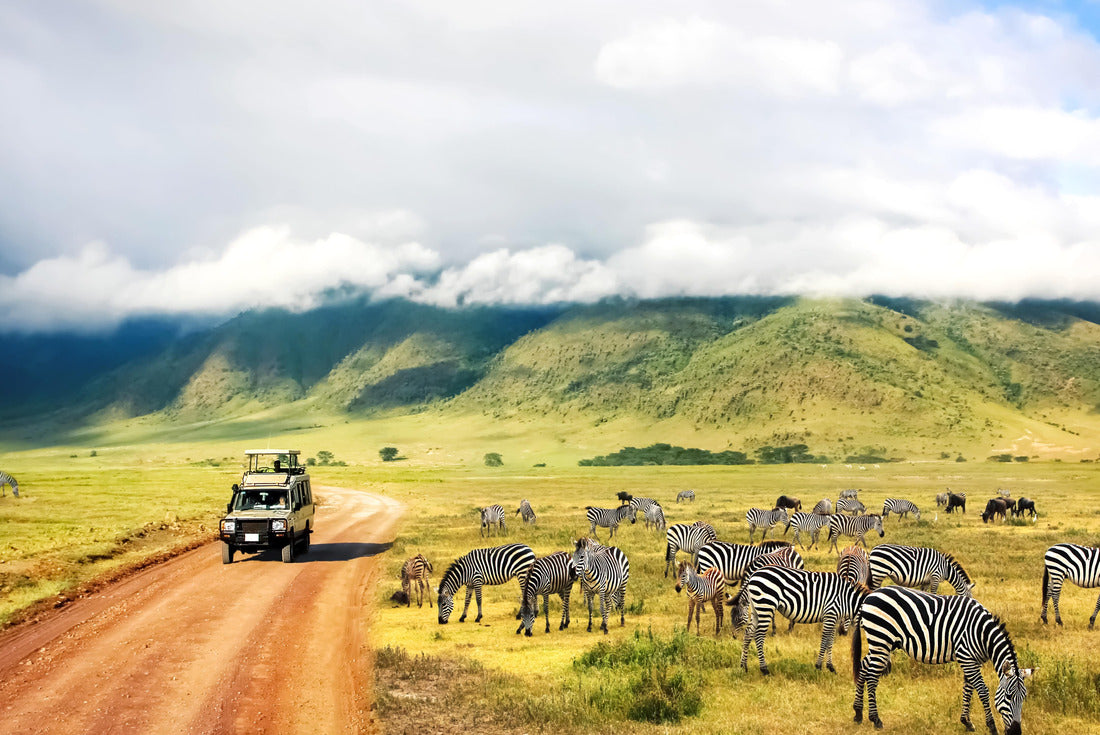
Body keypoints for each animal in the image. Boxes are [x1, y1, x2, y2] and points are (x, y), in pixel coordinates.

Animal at [735, 566, 867, 674]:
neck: (846, 598)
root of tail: (754, 574)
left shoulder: (835, 618)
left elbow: (830, 641)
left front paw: (830, 666)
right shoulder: (830, 614)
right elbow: (825, 640)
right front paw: (818, 666)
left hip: (756, 608)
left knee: (748, 633)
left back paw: (743, 666)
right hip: (766, 605)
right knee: (758, 635)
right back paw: (764, 669)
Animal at [852, 586, 1033, 734]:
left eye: (1024, 697)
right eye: (1008, 696)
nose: (1016, 732)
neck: (982, 633)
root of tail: (869, 597)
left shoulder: (973, 660)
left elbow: (968, 688)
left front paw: (967, 722)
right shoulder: (966, 657)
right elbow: (981, 690)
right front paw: (991, 726)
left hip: (882, 643)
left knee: (864, 666)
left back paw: (858, 713)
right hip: (881, 639)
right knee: (872, 676)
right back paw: (875, 719)